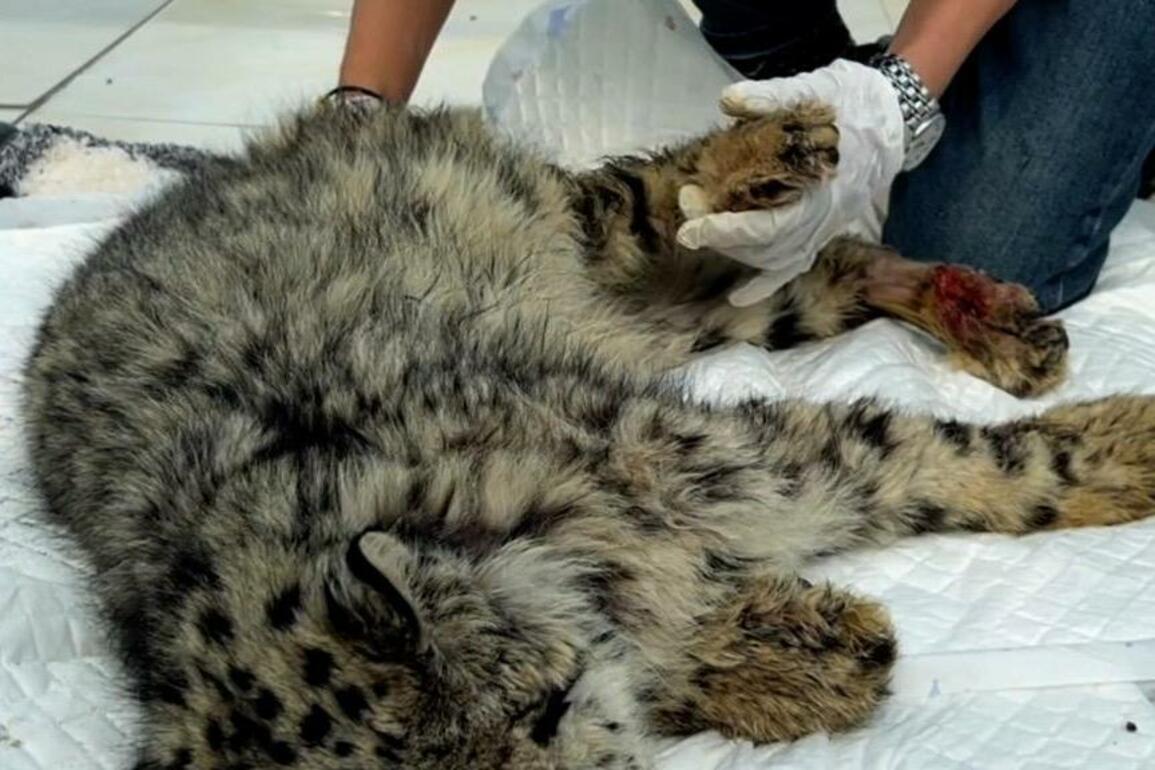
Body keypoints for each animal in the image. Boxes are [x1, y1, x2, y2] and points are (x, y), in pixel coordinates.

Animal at [22, 100, 1155, 770]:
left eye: (539, 712)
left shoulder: (702, 455)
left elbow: (939, 460)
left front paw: (1120, 450)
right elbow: (673, 650)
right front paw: (806, 652)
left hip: (588, 235)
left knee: (660, 198)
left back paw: (786, 152)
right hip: (709, 320)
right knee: (826, 268)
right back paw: (982, 314)